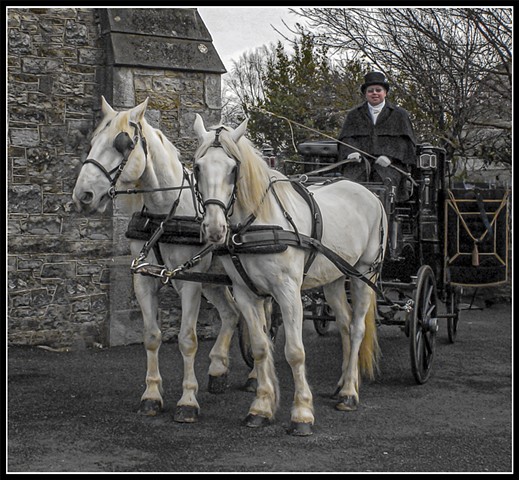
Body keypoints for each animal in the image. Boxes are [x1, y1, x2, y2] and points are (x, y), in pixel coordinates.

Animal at [71, 96, 246, 420]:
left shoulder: (189, 281)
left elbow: (187, 339)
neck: (165, 214)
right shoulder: (144, 278)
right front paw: (152, 394)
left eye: (123, 144)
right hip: (213, 279)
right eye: (92, 142)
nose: (83, 195)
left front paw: (188, 401)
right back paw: (218, 370)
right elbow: (151, 335)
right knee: (231, 313)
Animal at [193, 115, 388, 436]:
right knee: (345, 325)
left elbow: (295, 352)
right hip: (334, 278)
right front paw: (260, 407)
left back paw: (349, 392)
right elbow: (261, 347)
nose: (214, 228)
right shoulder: (245, 293)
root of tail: (368, 192)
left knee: (358, 327)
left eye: (233, 169)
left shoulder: (287, 293)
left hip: (364, 273)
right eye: (198, 167)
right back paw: (342, 384)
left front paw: (302, 414)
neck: (257, 224)